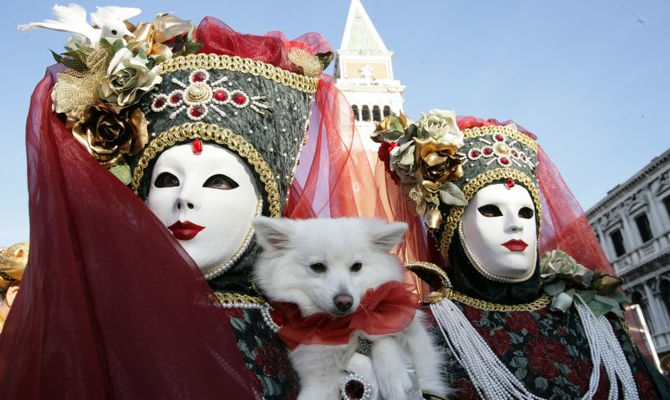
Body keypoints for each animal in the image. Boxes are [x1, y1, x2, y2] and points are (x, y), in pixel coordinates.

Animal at [253, 219, 452, 400]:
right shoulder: (319, 378)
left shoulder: (414, 339)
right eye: (317, 267)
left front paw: (394, 377)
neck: (343, 326)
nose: (344, 302)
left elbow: (383, 339)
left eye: (357, 266)